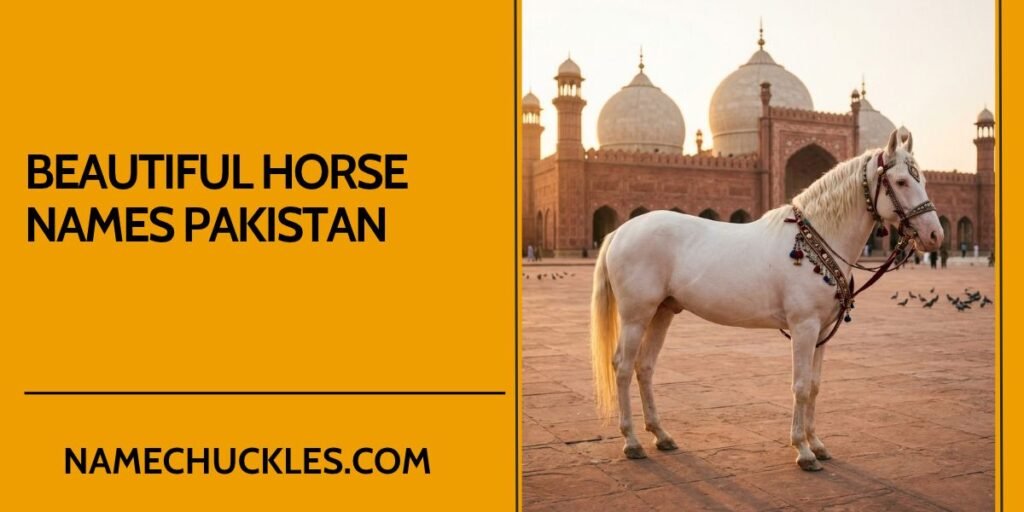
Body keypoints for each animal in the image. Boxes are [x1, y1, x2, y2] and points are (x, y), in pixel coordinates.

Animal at [590, 129, 943, 471]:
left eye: (923, 181)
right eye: (901, 181)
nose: (935, 235)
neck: (817, 237)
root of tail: (619, 232)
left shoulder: (822, 329)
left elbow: (814, 385)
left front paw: (817, 443)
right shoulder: (803, 325)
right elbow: (800, 385)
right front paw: (803, 450)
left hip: (663, 309)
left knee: (645, 366)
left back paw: (661, 435)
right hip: (636, 313)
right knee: (622, 366)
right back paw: (631, 441)